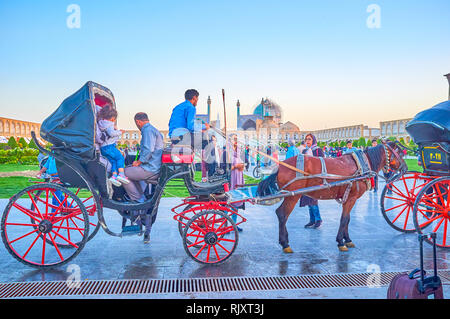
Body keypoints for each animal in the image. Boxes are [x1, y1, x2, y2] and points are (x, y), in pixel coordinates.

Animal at [256, 141, 408, 254]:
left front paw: (347, 239)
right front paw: (341, 242)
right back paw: (285, 243)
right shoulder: (352, 197)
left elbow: (348, 219)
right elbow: (344, 219)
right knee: (282, 214)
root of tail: (280, 167)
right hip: (293, 195)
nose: (405, 168)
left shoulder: (349, 198)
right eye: (400, 153)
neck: (362, 165)